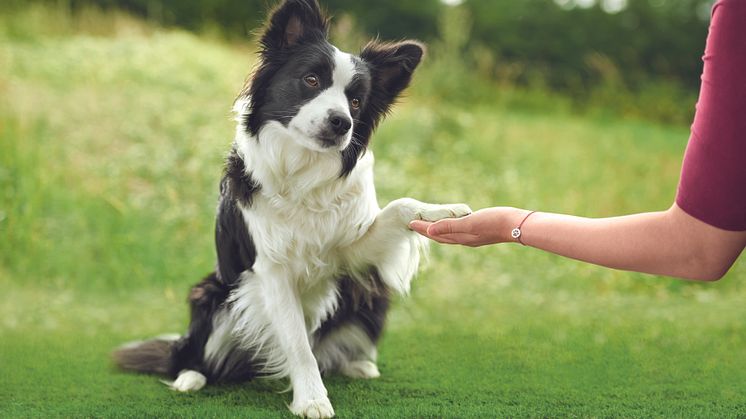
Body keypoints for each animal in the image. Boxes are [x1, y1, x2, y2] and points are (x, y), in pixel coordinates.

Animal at [112, 1, 468, 418]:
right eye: (311, 80)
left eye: (357, 102)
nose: (341, 123)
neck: (302, 171)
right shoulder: (271, 269)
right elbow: (298, 343)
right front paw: (312, 400)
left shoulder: (348, 251)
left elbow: (401, 205)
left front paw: (444, 211)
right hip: (213, 294)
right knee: (192, 352)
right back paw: (190, 377)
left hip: (369, 294)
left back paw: (356, 363)